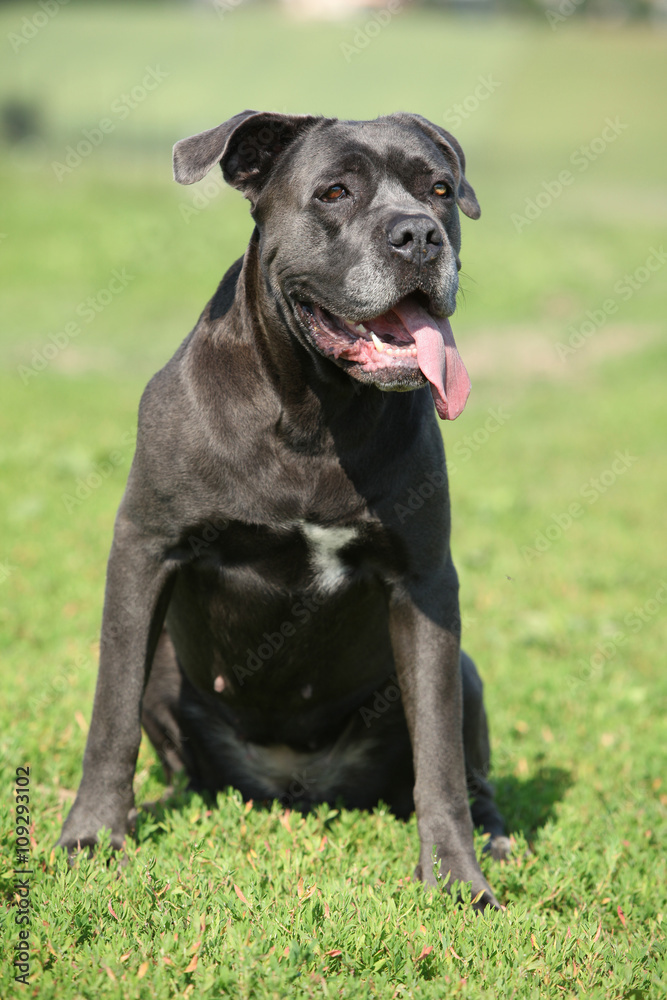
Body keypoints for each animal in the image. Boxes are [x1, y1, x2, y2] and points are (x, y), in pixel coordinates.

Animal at [60, 109, 512, 908]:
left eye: (439, 189)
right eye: (333, 192)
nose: (419, 234)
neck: (312, 412)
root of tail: (292, 786)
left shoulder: (424, 585)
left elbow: (439, 756)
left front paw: (457, 879)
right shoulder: (145, 547)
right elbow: (109, 715)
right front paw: (91, 838)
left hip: (463, 668)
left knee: (467, 768)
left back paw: (492, 835)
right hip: (168, 670)